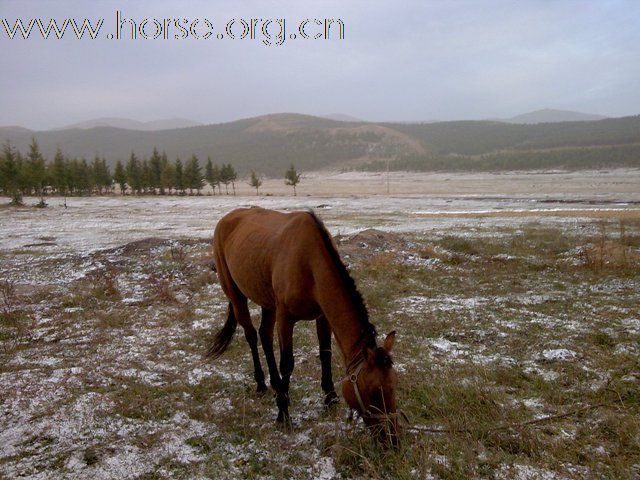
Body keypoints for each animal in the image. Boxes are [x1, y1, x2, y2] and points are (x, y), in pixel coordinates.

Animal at [210, 206, 398, 442]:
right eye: (373, 392)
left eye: (394, 385)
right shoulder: (285, 318)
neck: (309, 263)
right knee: (252, 336)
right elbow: (287, 363)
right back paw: (262, 384)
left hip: (267, 302)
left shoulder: (322, 316)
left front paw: (330, 398)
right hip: (236, 295)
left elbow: (325, 353)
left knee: (264, 335)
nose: (392, 439)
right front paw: (283, 414)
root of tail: (226, 219)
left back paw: (276, 384)